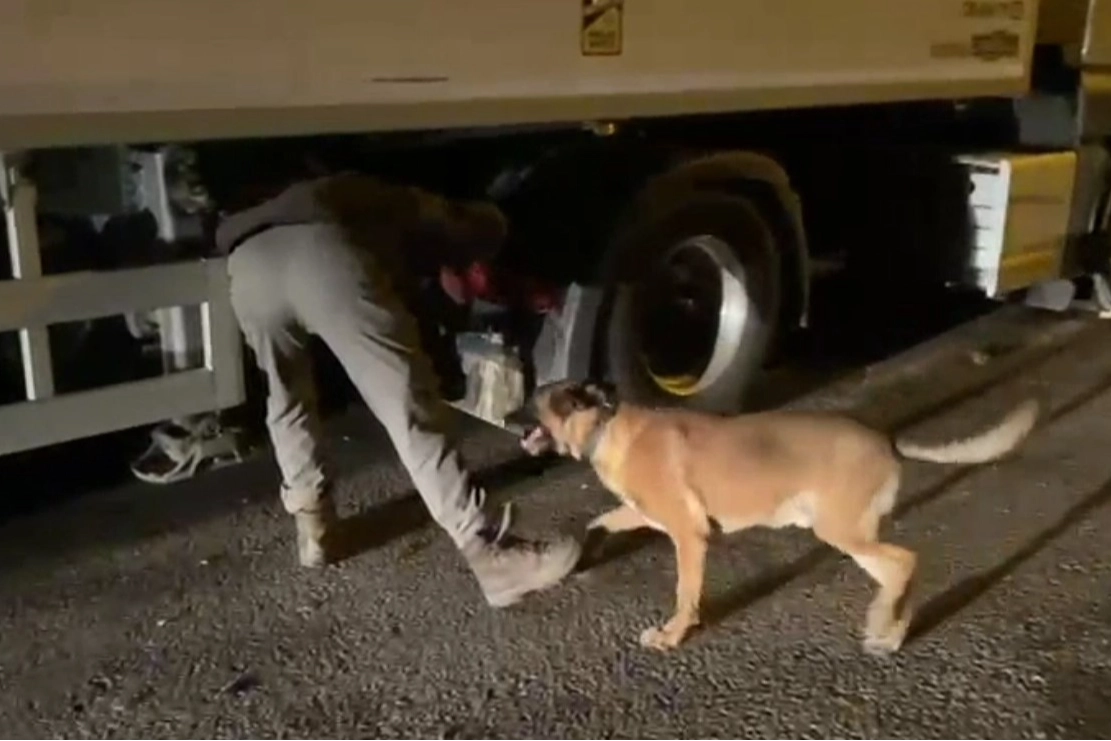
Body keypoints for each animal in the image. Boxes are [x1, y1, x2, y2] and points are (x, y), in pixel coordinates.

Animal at [510, 379, 1039, 654]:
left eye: (532, 402)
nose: (503, 416)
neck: (605, 427)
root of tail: (885, 438)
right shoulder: (643, 516)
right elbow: (596, 523)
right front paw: (577, 557)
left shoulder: (689, 535)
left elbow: (685, 593)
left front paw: (673, 634)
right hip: (846, 531)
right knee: (899, 570)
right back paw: (890, 629)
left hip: (840, 529)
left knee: (905, 561)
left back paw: (886, 625)